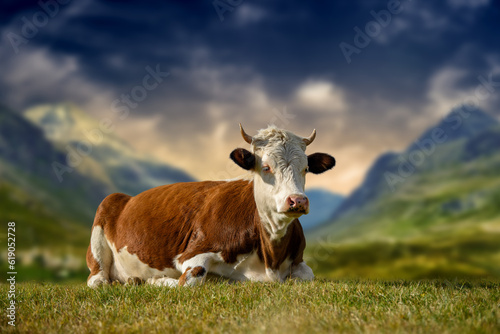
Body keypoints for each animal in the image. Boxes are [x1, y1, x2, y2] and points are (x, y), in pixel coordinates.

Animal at [86, 124, 336, 288]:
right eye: (266, 167)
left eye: (306, 168)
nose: (297, 200)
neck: (270, 258)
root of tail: (127, 197)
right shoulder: (192, 253)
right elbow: (188, 281)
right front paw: (159, 280)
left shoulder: (298, 260)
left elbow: (308, 275)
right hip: (102, 218)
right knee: (97, 280)